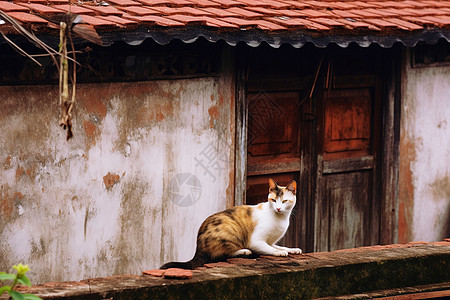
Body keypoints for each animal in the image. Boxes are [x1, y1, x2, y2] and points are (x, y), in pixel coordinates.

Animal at [160, 178, 300, 270]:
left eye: (284, 201)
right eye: (273, 200)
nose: (278, 208)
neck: (280, 218)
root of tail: (198, 248)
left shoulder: (271, 241)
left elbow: (280, 246)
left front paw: (292, 249)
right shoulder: (256, 241)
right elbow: (271, 249)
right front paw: (279, 253)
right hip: (230, 231)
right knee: (220, 254)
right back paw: (244, 251)